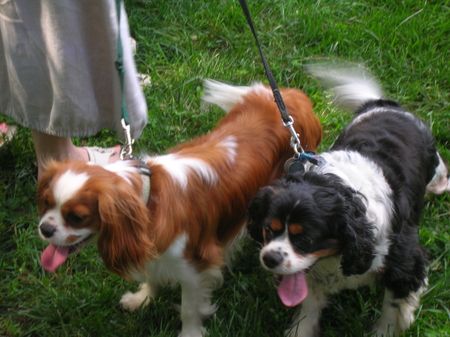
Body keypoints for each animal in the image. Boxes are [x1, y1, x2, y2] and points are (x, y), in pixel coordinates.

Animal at [37, 79, 322, 336]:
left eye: (76, 217)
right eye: (47, 203)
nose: (44, 229)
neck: (149, 198)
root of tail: (288, 97)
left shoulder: (197, 265)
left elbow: (189, 309)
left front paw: (190, 333)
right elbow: (152, 275)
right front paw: (143, 298)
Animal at [248, 63, 448, 336]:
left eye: (306, 238)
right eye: (269, 229)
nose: (270, 258)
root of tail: (385, 105)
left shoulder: (405, 261)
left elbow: (394, 306)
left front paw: (391, 325)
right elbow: (309, 306)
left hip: (433, 164)